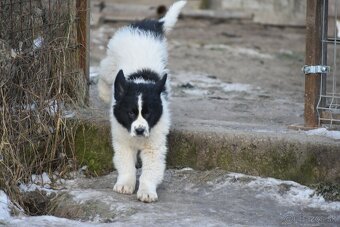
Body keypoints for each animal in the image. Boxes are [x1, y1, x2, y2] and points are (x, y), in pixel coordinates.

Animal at [98, 0, 187, 203]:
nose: (139, 130)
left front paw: (146, 191)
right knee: (104, 73)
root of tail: (148, 25)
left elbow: (150, 171)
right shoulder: (122, 141)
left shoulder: (154, 145)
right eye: (131, 113)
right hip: (111, 62)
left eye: (148, 114)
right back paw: (104, 93)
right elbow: (126, 165)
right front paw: (125, 184)